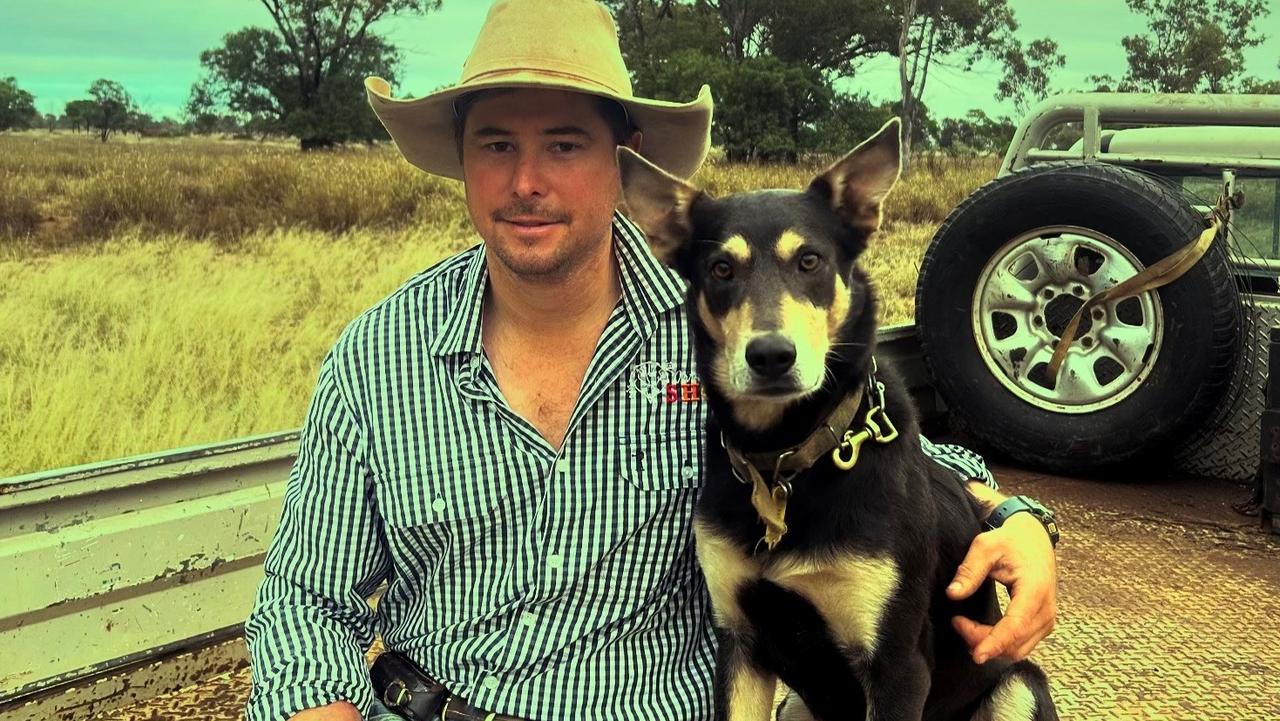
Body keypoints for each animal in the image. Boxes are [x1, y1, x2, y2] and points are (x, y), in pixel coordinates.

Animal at [614, 119, 1054, 721]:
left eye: (810, 261)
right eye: (720, 269)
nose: (771, 356)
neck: (783, 457)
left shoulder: (896, 666)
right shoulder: (740, 645)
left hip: (1017, 686)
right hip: (795, 705)